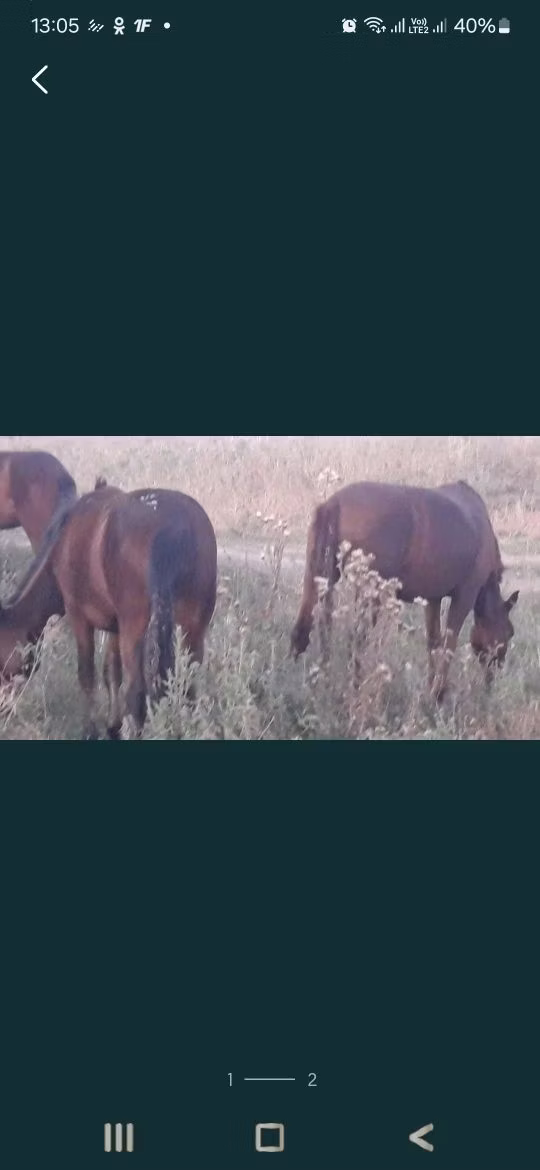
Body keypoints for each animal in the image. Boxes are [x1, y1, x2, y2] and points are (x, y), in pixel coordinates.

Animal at [0, 484, 217, 737]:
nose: (4, 710)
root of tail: (172, 528)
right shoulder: (115, 627)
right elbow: (111, 672)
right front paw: (113, 726)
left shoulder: (78, 616)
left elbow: (87, 675)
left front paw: (91, 731)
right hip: (193, 628)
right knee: (189, 686)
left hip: (136, 628)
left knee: (136, 693)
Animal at [290, 481, 519, 700]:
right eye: (510, 632)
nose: (494, 674)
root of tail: (333, 503)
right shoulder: (464, 597)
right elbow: (448, 646)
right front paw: (438, 694)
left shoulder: (431, 599)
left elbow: (433, 644)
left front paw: (431, 689)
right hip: (369, 594)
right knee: (356, 642)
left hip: (316, 578)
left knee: (302, 633)